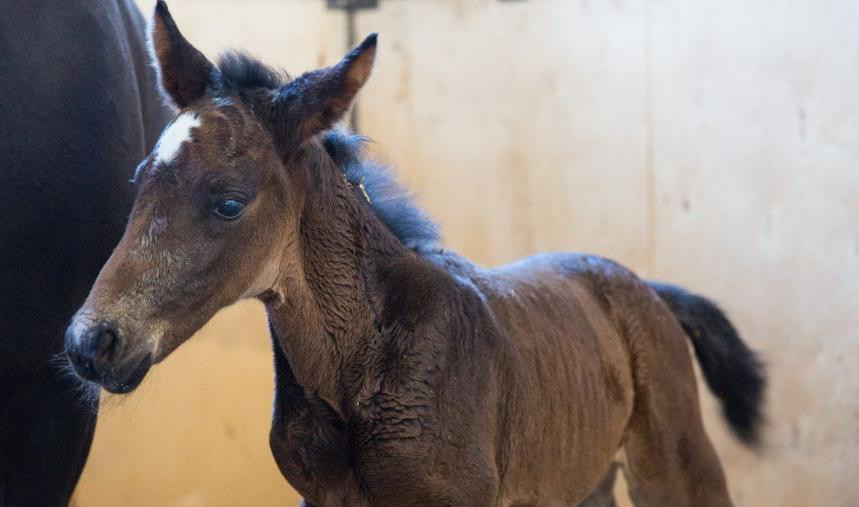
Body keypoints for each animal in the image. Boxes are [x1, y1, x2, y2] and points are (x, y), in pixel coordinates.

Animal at [65, 1, 764, 506]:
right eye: (139, 178)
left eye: (229, 204)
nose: (91, 342)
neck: (358, 363)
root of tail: (647, 289)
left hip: (676, 465)